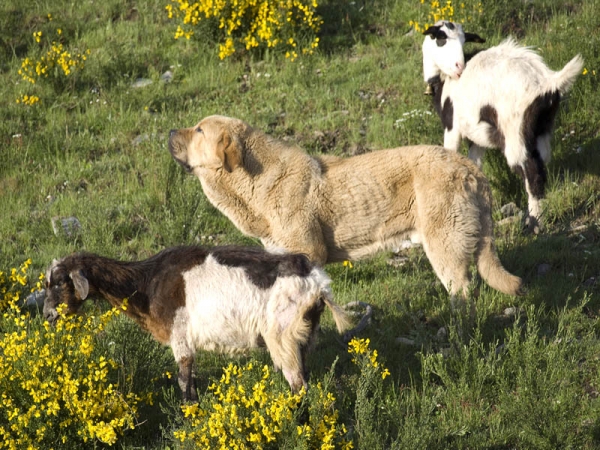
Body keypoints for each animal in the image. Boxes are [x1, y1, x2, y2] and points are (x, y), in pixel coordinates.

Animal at [42, 246, 350, 400]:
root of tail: (317, 284)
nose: (46, 315)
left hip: (282, 335)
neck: (147, 282)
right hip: (304, 335)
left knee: (299, 384)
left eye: (58, 283)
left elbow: (183, 378)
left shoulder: (180, 334)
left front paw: (187, 412)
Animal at [168, 116, 520, 298]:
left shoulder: (307, 251)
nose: (170, 130)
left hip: (444, 242)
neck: (254, 182)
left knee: (462, 288)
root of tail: (472, 170)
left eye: (199, 130)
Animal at [422, 20, 580, 232]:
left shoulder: (451, 126)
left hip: (515, 130)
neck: (443, 80)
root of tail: (548, 83)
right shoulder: (477, 136)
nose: (459, 67)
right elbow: (474, 167)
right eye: (441, 38)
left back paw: (534, 224)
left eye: (463, 40)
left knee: (532, 172)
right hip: (542, 127)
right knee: (541, 163)